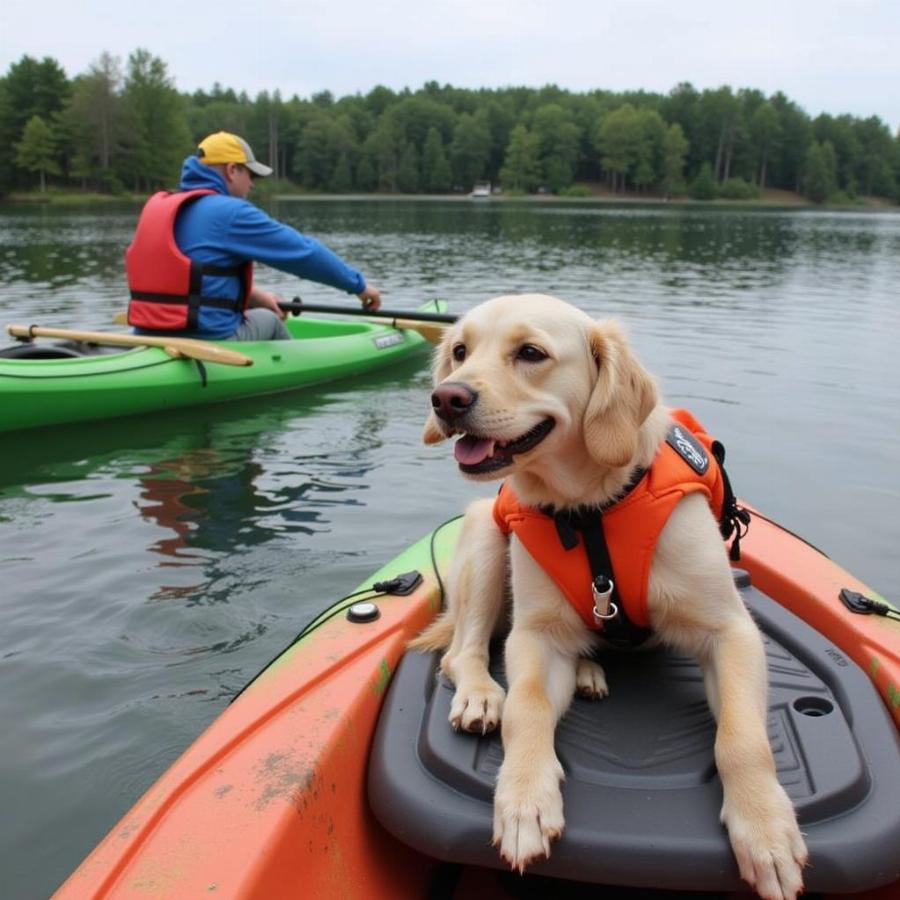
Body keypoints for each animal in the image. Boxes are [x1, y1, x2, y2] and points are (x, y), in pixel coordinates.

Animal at [414, 296, 808, 900]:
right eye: (460, 351)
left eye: (531, 353)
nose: (447, 398)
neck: (590, 510)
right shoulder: (535, 635)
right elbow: (526, 706)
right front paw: (524, 799)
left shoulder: (731, 631)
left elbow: (743, 737)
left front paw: (766, 829)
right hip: (484, 535)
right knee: (462, 652)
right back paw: (481, 695)